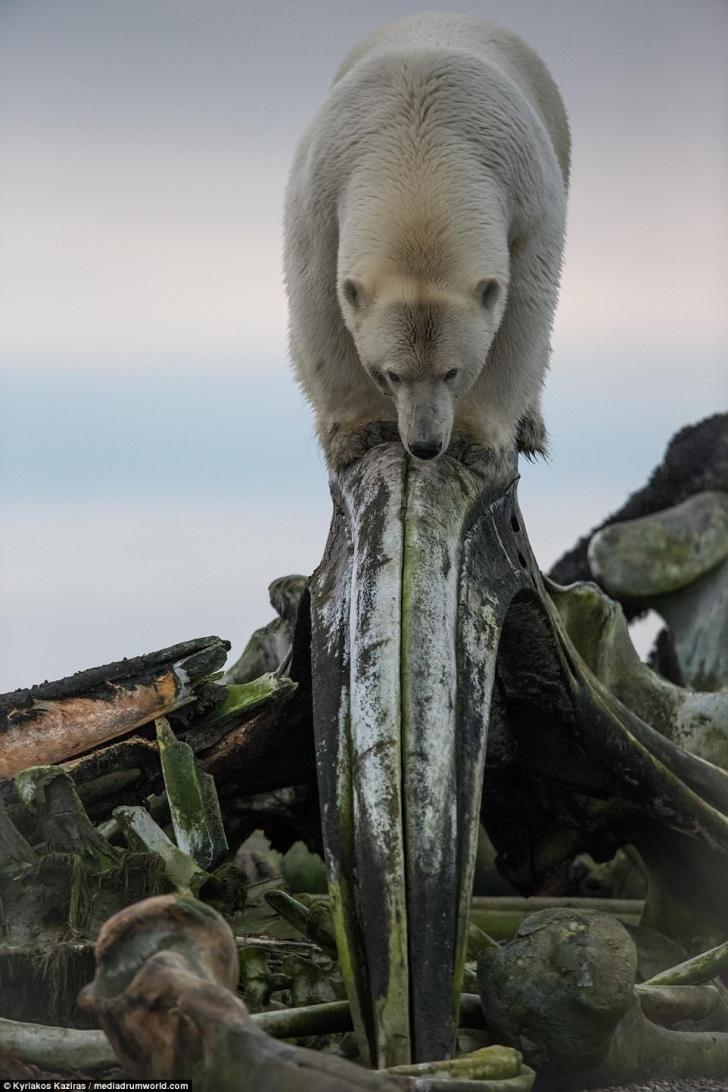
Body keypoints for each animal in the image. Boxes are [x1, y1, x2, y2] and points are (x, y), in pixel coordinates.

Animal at [281, 10, 571, 469]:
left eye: (452, 372)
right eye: (392, 374)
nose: (424, 445)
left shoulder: (528, 204)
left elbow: (523, 317)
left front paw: (476, 440)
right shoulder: (320, 200)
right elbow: (320, 307)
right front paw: (361, 432)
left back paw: (529, 427)